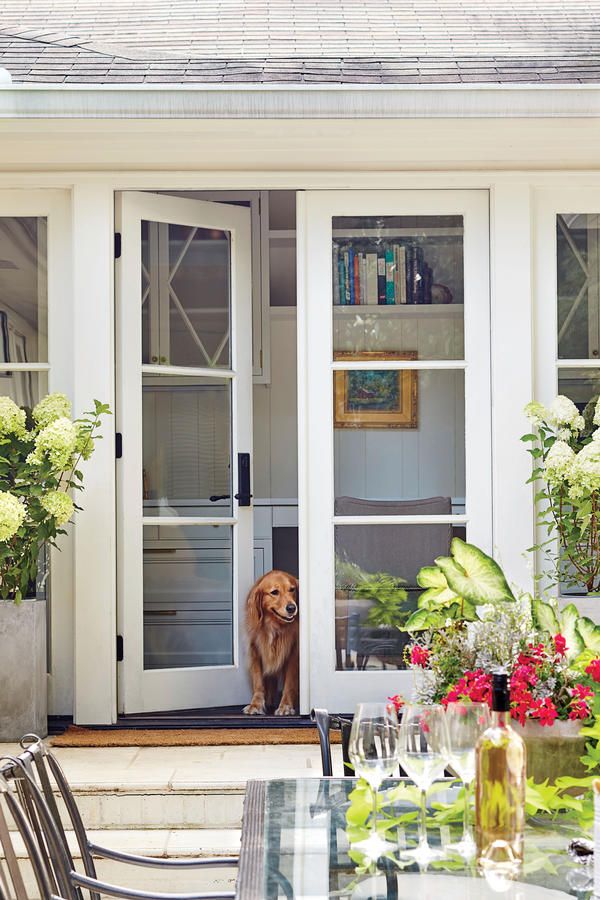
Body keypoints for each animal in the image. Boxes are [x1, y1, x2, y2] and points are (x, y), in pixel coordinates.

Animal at [243, 568, 298, 716]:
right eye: (274, 592)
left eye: (292, 589)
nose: (292, 608)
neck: (274, 627)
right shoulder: (255, 650)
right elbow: (258, 682)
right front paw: (256, 704)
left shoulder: (293, 654)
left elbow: (289, 683)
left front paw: (285, 706)